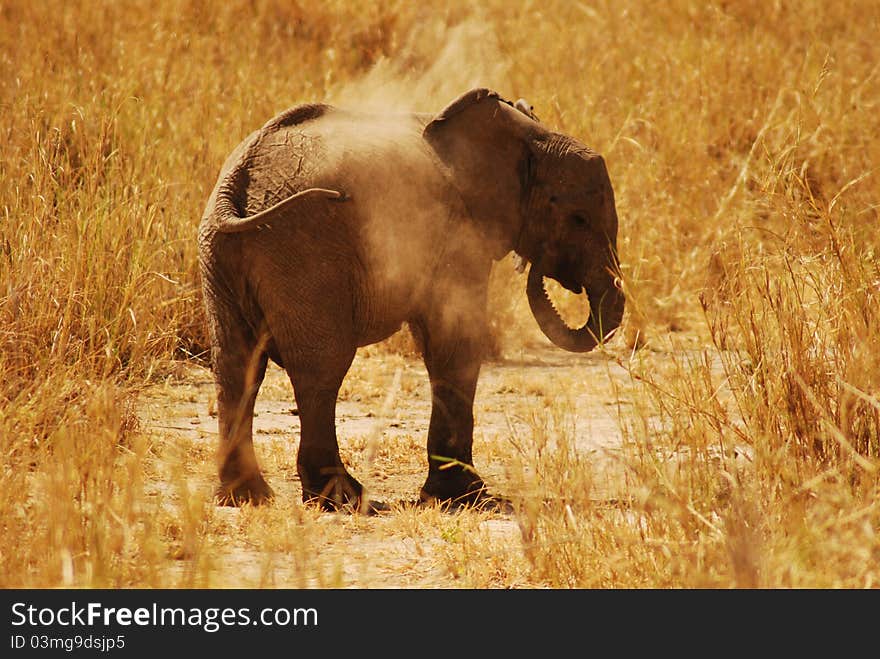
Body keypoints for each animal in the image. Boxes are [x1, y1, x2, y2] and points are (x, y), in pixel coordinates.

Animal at [199, 87, 624, 510]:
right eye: (579, 218)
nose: (539, 268)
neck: (530, 134)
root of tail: (235, 186)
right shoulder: (458, 232)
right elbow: (457, 337)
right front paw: (466, 497)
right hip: (303, 253)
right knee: (320, 368)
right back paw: (343, 499)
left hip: (222, 257)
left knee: (236, 366)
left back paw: (247, 497)